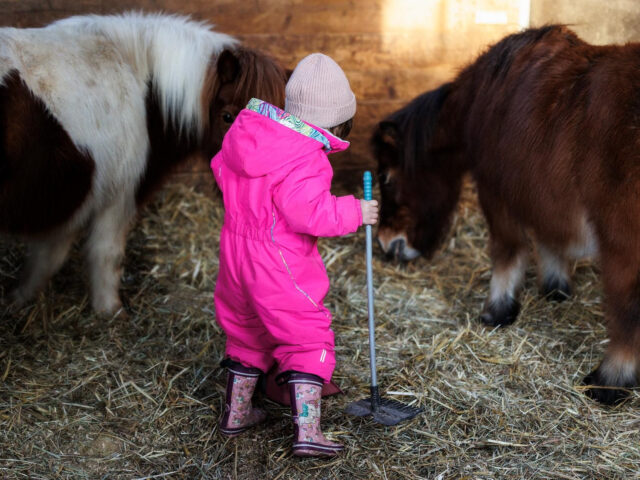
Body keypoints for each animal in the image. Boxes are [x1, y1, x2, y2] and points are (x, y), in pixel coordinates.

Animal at [0, 12, 284, 316]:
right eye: (228, 117)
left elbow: (45, 259)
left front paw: (19, 299)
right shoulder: (117, 196)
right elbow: (103, 255)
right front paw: (110, 312)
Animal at [372, 24, 640, 404]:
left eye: (385, 176)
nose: (385, 243)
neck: (481, 99)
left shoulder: (496, 194)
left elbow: (507, 250)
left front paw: (497, 309)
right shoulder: (540, 194)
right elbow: (549, 238)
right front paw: (555, 288)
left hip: (621, 243)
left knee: (627, 310)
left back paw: (608, 381)